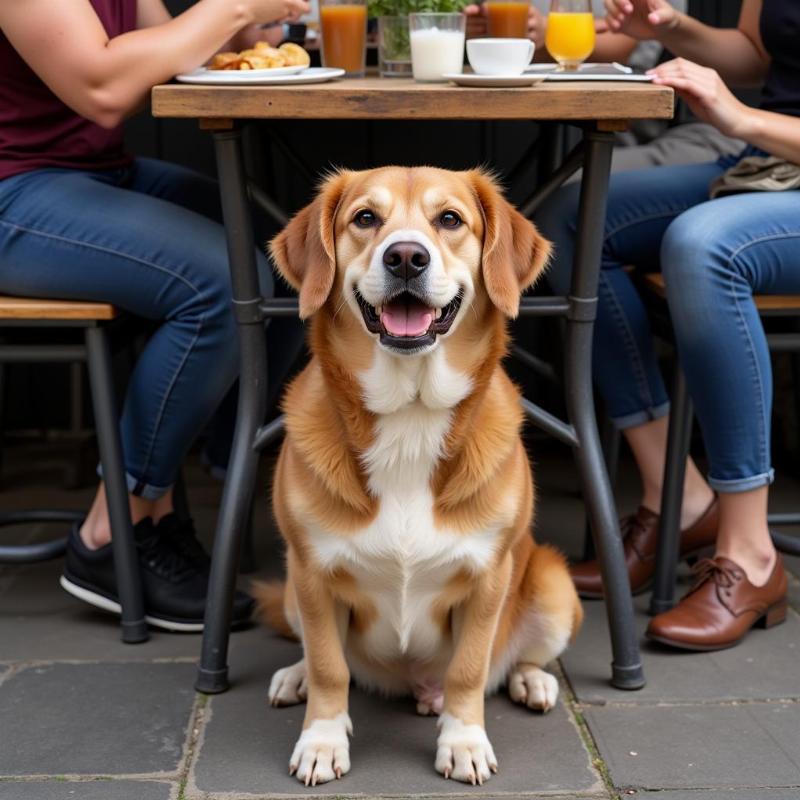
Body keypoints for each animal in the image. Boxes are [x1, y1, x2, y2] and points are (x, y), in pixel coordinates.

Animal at [260, 167, 584, 788]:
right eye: (365, 218)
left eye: (450, 219)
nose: (406, 257)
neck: (409, 418)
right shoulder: (311, 573)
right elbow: (330, 665)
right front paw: (322, 740)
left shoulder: (488, 579)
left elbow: (468, 670)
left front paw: (463, 741)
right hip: (289, 586)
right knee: (316, 655)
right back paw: (296, 676)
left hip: (554, 584)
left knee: (516, 659)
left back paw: (531, 679)